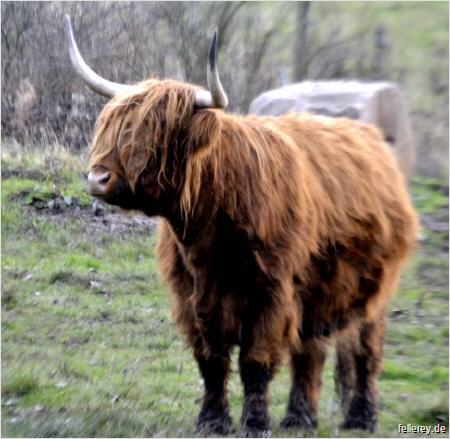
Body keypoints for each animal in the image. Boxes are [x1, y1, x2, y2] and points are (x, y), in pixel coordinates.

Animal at [65, 16, 416, 436]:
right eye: (111, 126)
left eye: (156, 134)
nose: (97, 178)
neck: (210, 232)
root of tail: (374, 140)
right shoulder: (194, 295)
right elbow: (211, 360)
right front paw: (212, 420)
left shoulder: (271, 292)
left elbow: (255, 361)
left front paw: (256, 423)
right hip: (317, 285)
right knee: (310, 350)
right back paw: (299, 418)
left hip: (373, 286)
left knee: (365, 349)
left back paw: (360, 417)